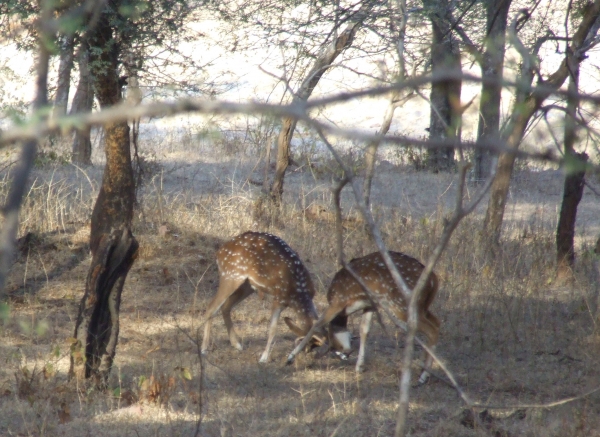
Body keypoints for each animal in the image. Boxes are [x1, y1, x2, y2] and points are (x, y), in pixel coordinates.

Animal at [202, 232, 322, 362]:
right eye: (306, 344)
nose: (308, 353)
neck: (298, 294)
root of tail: (219, 252)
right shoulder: (278, 298)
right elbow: (272, 329)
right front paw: (263, 358)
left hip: (247, 285)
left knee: (226, 307)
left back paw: (237, 344)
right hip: (230, 276)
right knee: (211, 307)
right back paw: (204, 349)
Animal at [286, 250, 440, 384]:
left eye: (312, 346)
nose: (346, 353)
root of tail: (434, 280)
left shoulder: (338, 301)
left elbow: (316, 324)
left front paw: (290, 357)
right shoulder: (370, 305)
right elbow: (364, 330)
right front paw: (359, 366)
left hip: (401, 304)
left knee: (431, 330)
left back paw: (423, 376)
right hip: (423, 306)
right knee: (436, 323)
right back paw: (422, 368)